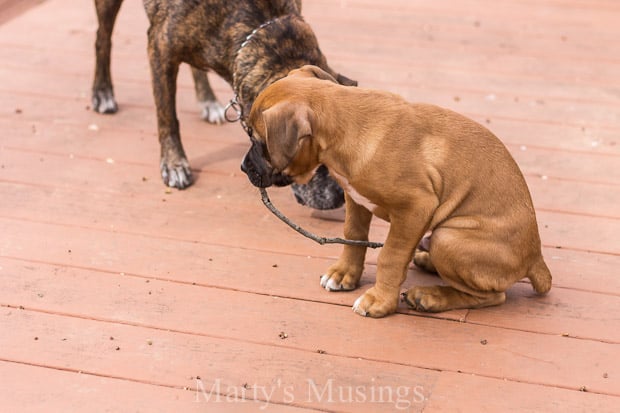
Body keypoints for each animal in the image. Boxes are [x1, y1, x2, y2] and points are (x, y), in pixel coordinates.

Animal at [92, 0, 354, 208]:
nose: (339, 198)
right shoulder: (160, 48)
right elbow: (167, 116)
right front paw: (174, 163)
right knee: (102, 39)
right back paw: (102, 91)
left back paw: (207, 100)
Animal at [241, 64, 552, 318]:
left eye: (257, 140)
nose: (244, 167)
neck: (346, 126)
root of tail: (535, 259)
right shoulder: (356, 198)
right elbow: (353, 236)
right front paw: (344, 274)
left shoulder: (415, 207)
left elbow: (390, 256)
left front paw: (379, 301)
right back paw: (426, 261)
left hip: (449, 238)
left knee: (492, 296)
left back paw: (430, 296)